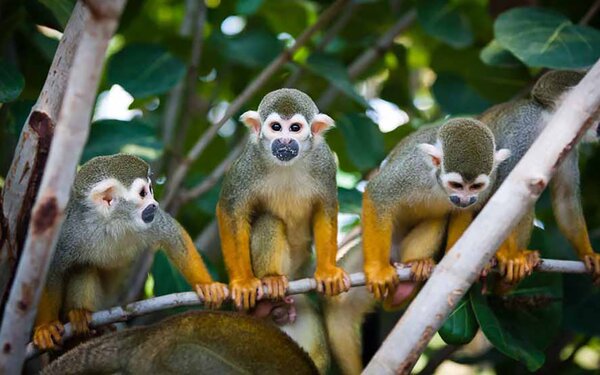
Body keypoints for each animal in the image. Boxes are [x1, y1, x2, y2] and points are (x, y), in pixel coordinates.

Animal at [33, 154, 230, 352]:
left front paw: (207, 285)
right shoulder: (69, 232)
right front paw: (45, 327)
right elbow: (50, 269)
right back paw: (79, 315)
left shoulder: (150, 219)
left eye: (151, 189)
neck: (113, 222)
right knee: (83, 266)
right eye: (143, 193)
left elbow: (174, 235)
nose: (155, 204)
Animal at [360, 119, 510, 302]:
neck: (440, 186)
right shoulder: (413, 171)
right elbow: (378, 194)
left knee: (438, 218)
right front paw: (378, 270)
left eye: (476, 186)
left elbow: (462, 212)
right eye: (456, 185)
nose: (464, 199)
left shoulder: (490, 180)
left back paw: (414, 267)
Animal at [478, 70, 600, 282]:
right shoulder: (523, 130)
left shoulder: (568, 146)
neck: (549, 124)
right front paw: (506, 256)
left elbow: (565, 198)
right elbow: (500, 191)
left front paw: (588, 254)